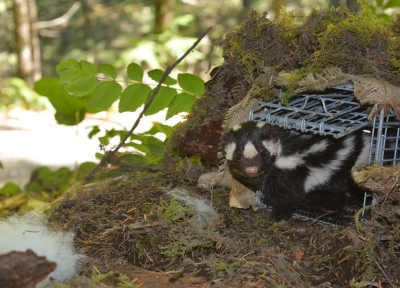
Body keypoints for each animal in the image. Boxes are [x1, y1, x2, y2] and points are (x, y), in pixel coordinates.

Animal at [220, 120, 370, 220]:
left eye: (263, 153)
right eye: (238, 155)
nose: (252, 169)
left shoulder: (290, 170)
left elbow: (291, 196)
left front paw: (277, 216)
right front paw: (264, 196)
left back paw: (354, 205)